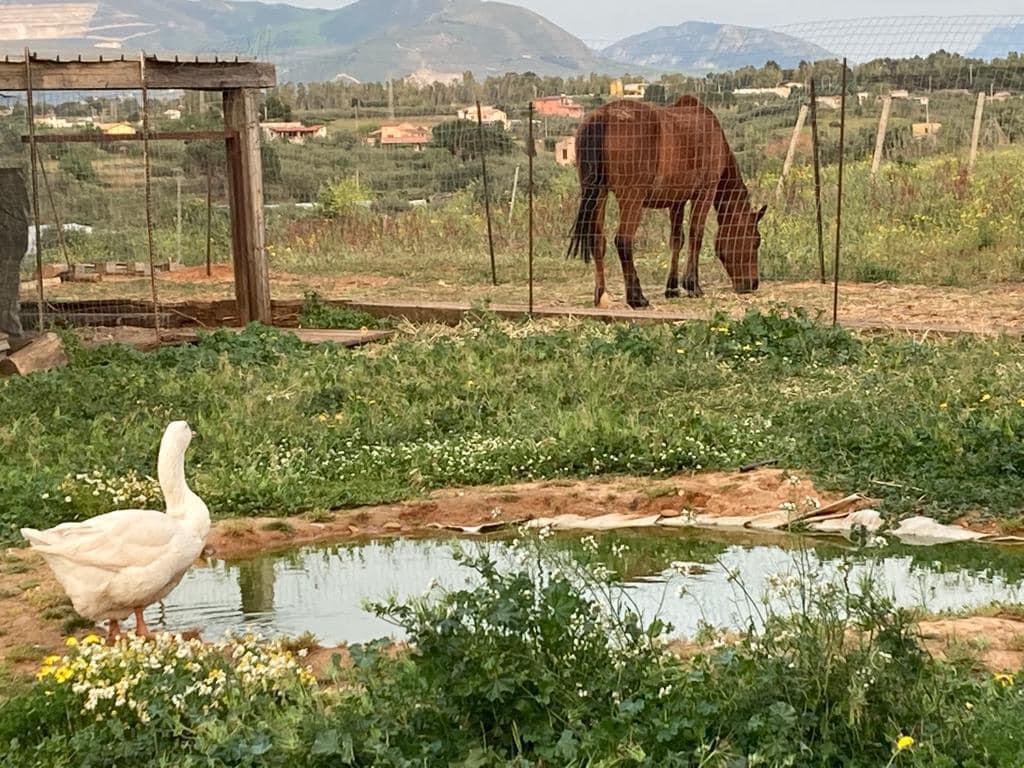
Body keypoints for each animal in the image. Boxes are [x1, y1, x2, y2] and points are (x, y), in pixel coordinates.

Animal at [569, 96, 770, 309]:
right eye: (755, 241)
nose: (752, 284)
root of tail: (603, 117)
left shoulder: (676, 201)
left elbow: (677, 240)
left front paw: (672, 287)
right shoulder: (705, 192)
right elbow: (696, 235)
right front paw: (692, 285)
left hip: (599, 194)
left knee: (597, 240)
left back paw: (601, 295)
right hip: (632, 198)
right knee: (623, 240)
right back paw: (636, 297)